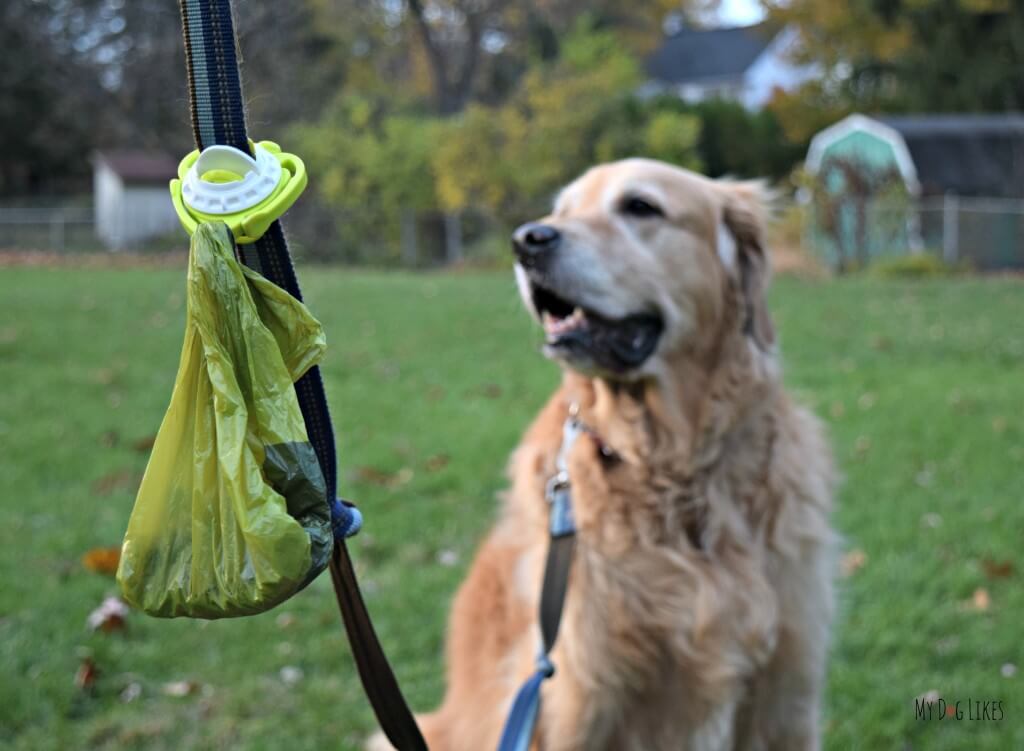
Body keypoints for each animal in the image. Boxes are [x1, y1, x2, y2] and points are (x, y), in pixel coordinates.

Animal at [372, 157, 835, 749]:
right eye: (559, 210)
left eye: (640, 206)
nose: (527, 240)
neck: (670, 466)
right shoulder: (576, 698)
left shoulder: (786, 695)